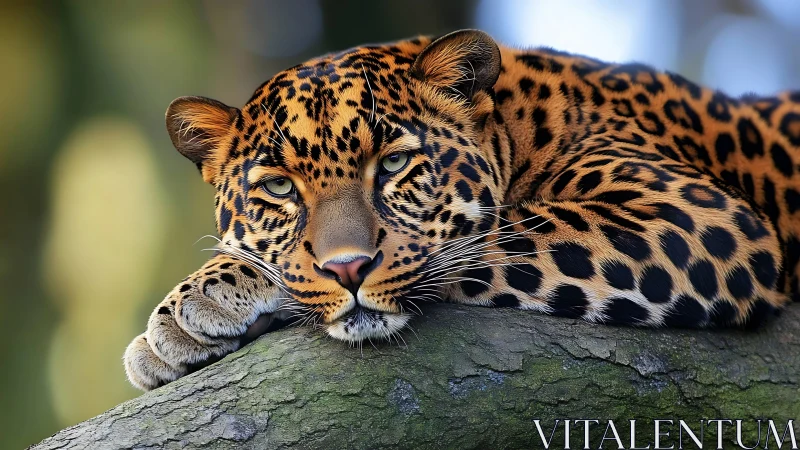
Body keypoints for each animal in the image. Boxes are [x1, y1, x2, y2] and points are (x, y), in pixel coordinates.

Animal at [124, 29, 800, 391]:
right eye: (282, 189)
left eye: (394, 164)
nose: (348, 269)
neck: (519, 124)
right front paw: (179, 325)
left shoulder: (692, 214)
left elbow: (479, 239)